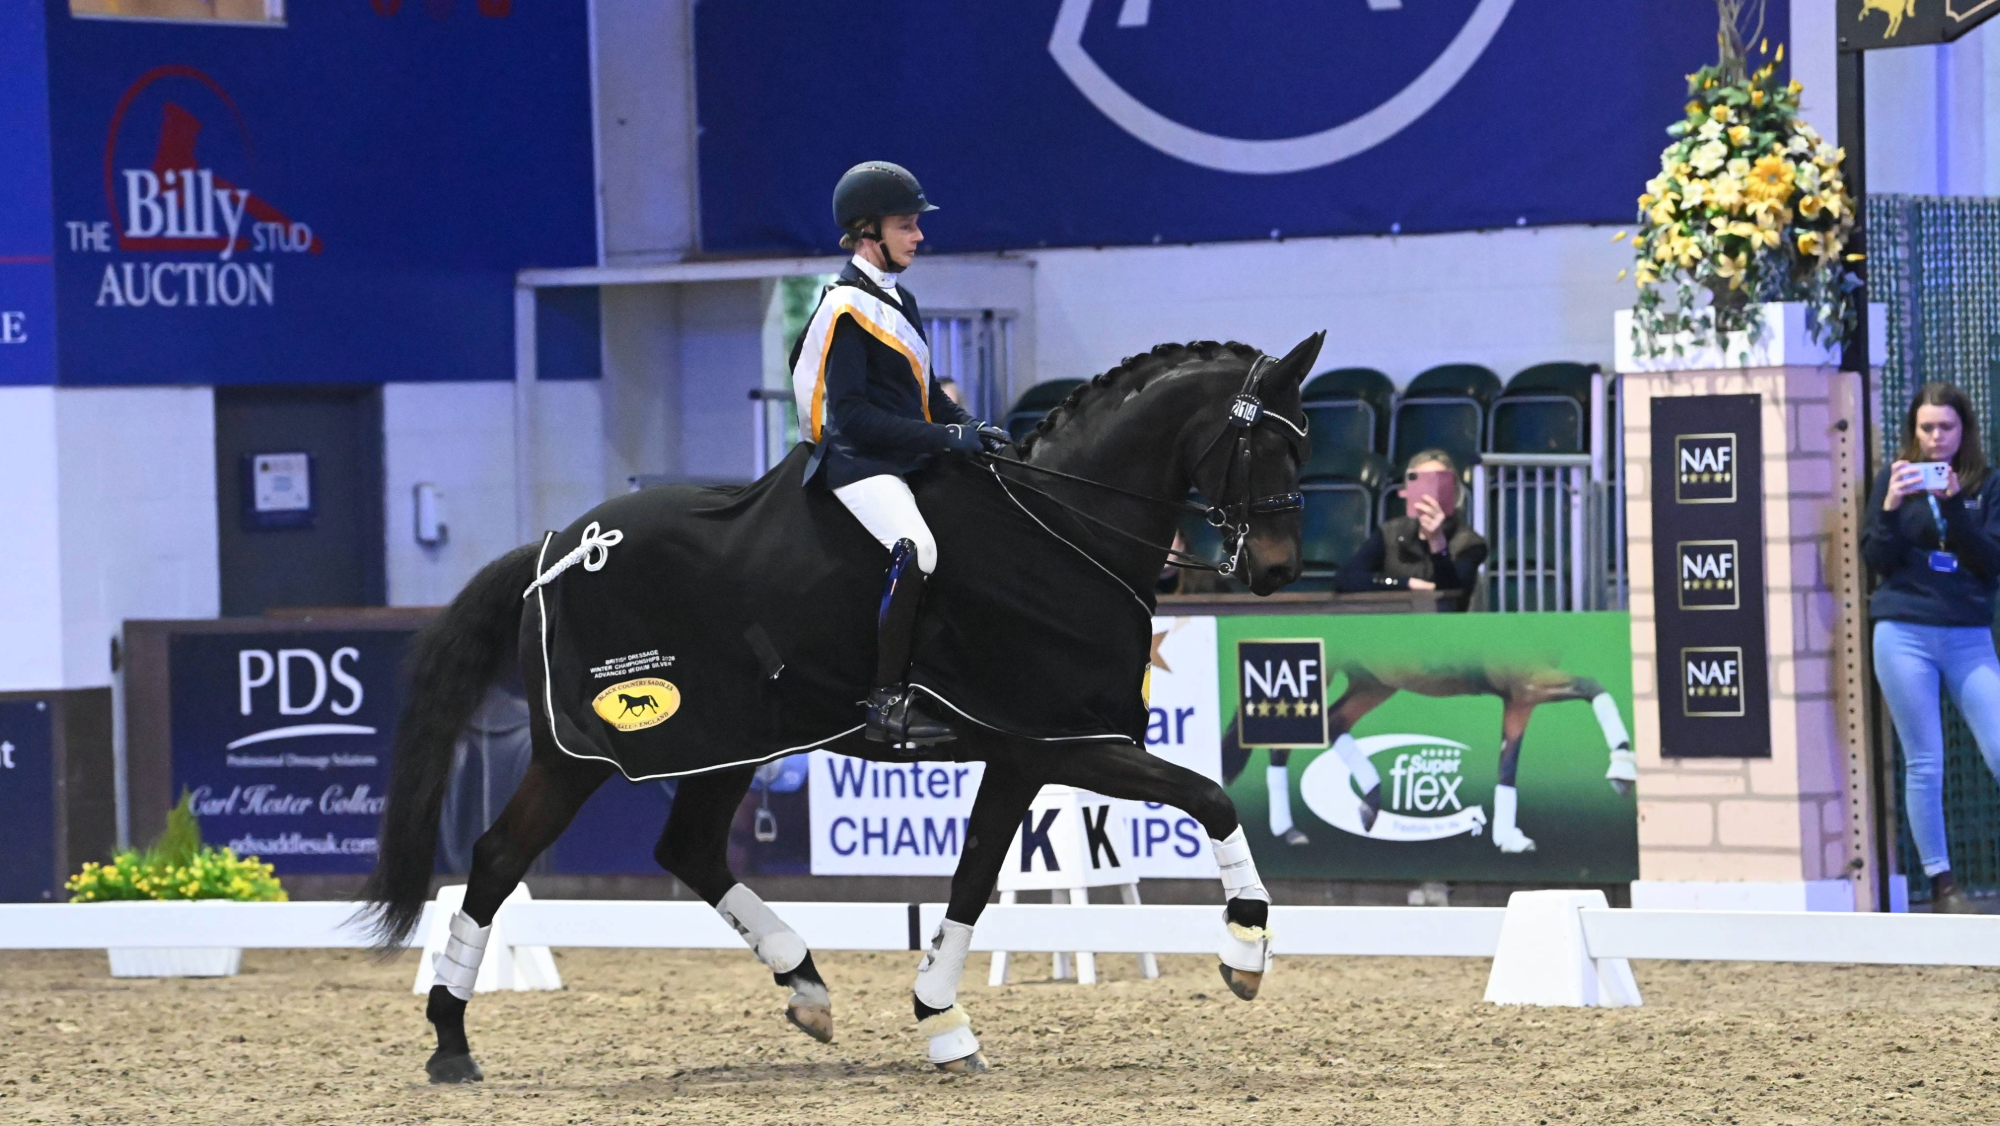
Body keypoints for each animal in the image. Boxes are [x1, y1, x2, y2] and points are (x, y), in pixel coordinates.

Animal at [358, 334, 1323, 1082]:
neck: (1064, 525)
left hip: (727, 742)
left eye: (1302, 447)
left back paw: (807, 988)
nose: (1278, 569)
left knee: (686, 849)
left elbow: (974, 875)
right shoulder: (1064, 741)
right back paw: (450, 1042)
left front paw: (941, 1019)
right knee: (498, 857)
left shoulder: (1023, 753)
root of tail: (555, 548)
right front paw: (1244, 952)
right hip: (587, 753)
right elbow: (1209, 797)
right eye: (1266, 448)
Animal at [1227, 662, 1635, 852]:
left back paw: (1365, 805)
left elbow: (1508, 769)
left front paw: (1509, 838)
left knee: (1333, 723)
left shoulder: (1520, 698)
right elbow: (1593, 687)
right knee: (1287, 739)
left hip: (1375, 683)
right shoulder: (1528, 682)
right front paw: (1622, 770)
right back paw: (1291, 828)